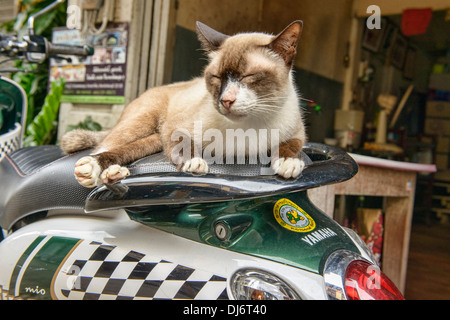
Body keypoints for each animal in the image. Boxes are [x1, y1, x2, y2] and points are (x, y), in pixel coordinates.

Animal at [61, 20, 308, 188]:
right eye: (216, 78)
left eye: (249, 77)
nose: (226, 100)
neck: (248, 127)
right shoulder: (176, 128)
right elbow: (186, 146)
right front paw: (195, 164)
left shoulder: (297, 133)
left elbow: (290, 146)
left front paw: (288, 164)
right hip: (143, 123)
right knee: (106, 146)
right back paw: (101, 172)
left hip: (154, 136)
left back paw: (112, 174)